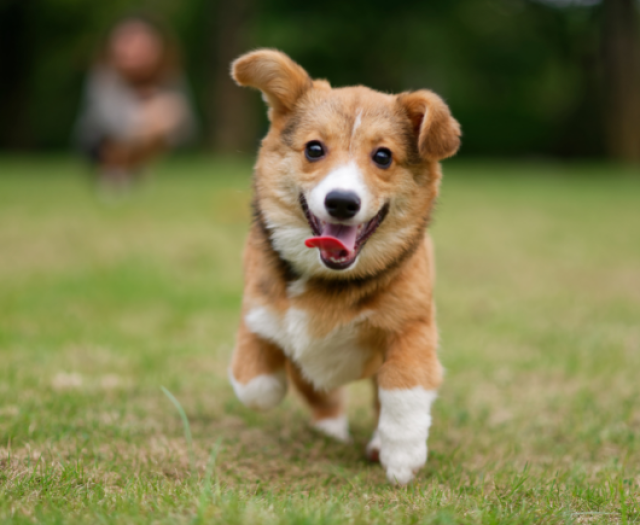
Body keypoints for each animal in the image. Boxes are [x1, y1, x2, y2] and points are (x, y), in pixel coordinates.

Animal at [229, 49, 460, 484]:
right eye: (314, 149)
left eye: (383, 156)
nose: (341, 202)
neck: (330, 278)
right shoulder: (255, 305)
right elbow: (258, 383)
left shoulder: (412, 328)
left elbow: (402, 392)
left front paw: (401, 456)